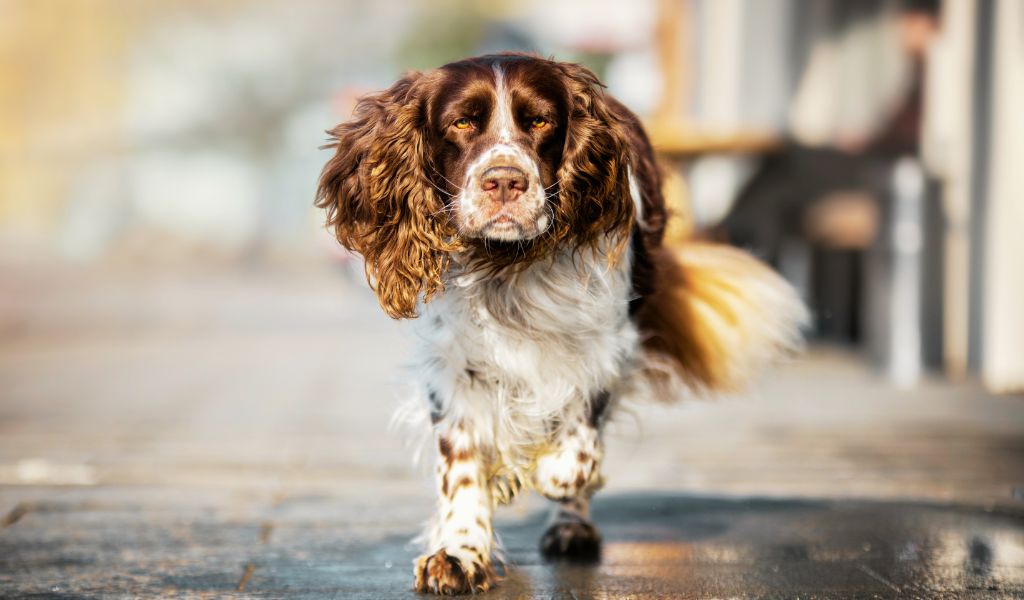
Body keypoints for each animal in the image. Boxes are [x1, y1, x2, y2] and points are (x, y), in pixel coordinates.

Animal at [313, 52, 806, 593]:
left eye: (540, 122)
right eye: (462, 123)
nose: (504, 181)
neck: (507, 265)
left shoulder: (606, 346)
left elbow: (575, 449)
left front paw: (544, 472)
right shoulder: (453, 363)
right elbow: (462, 465)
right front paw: (459, 551)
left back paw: (571, 525)